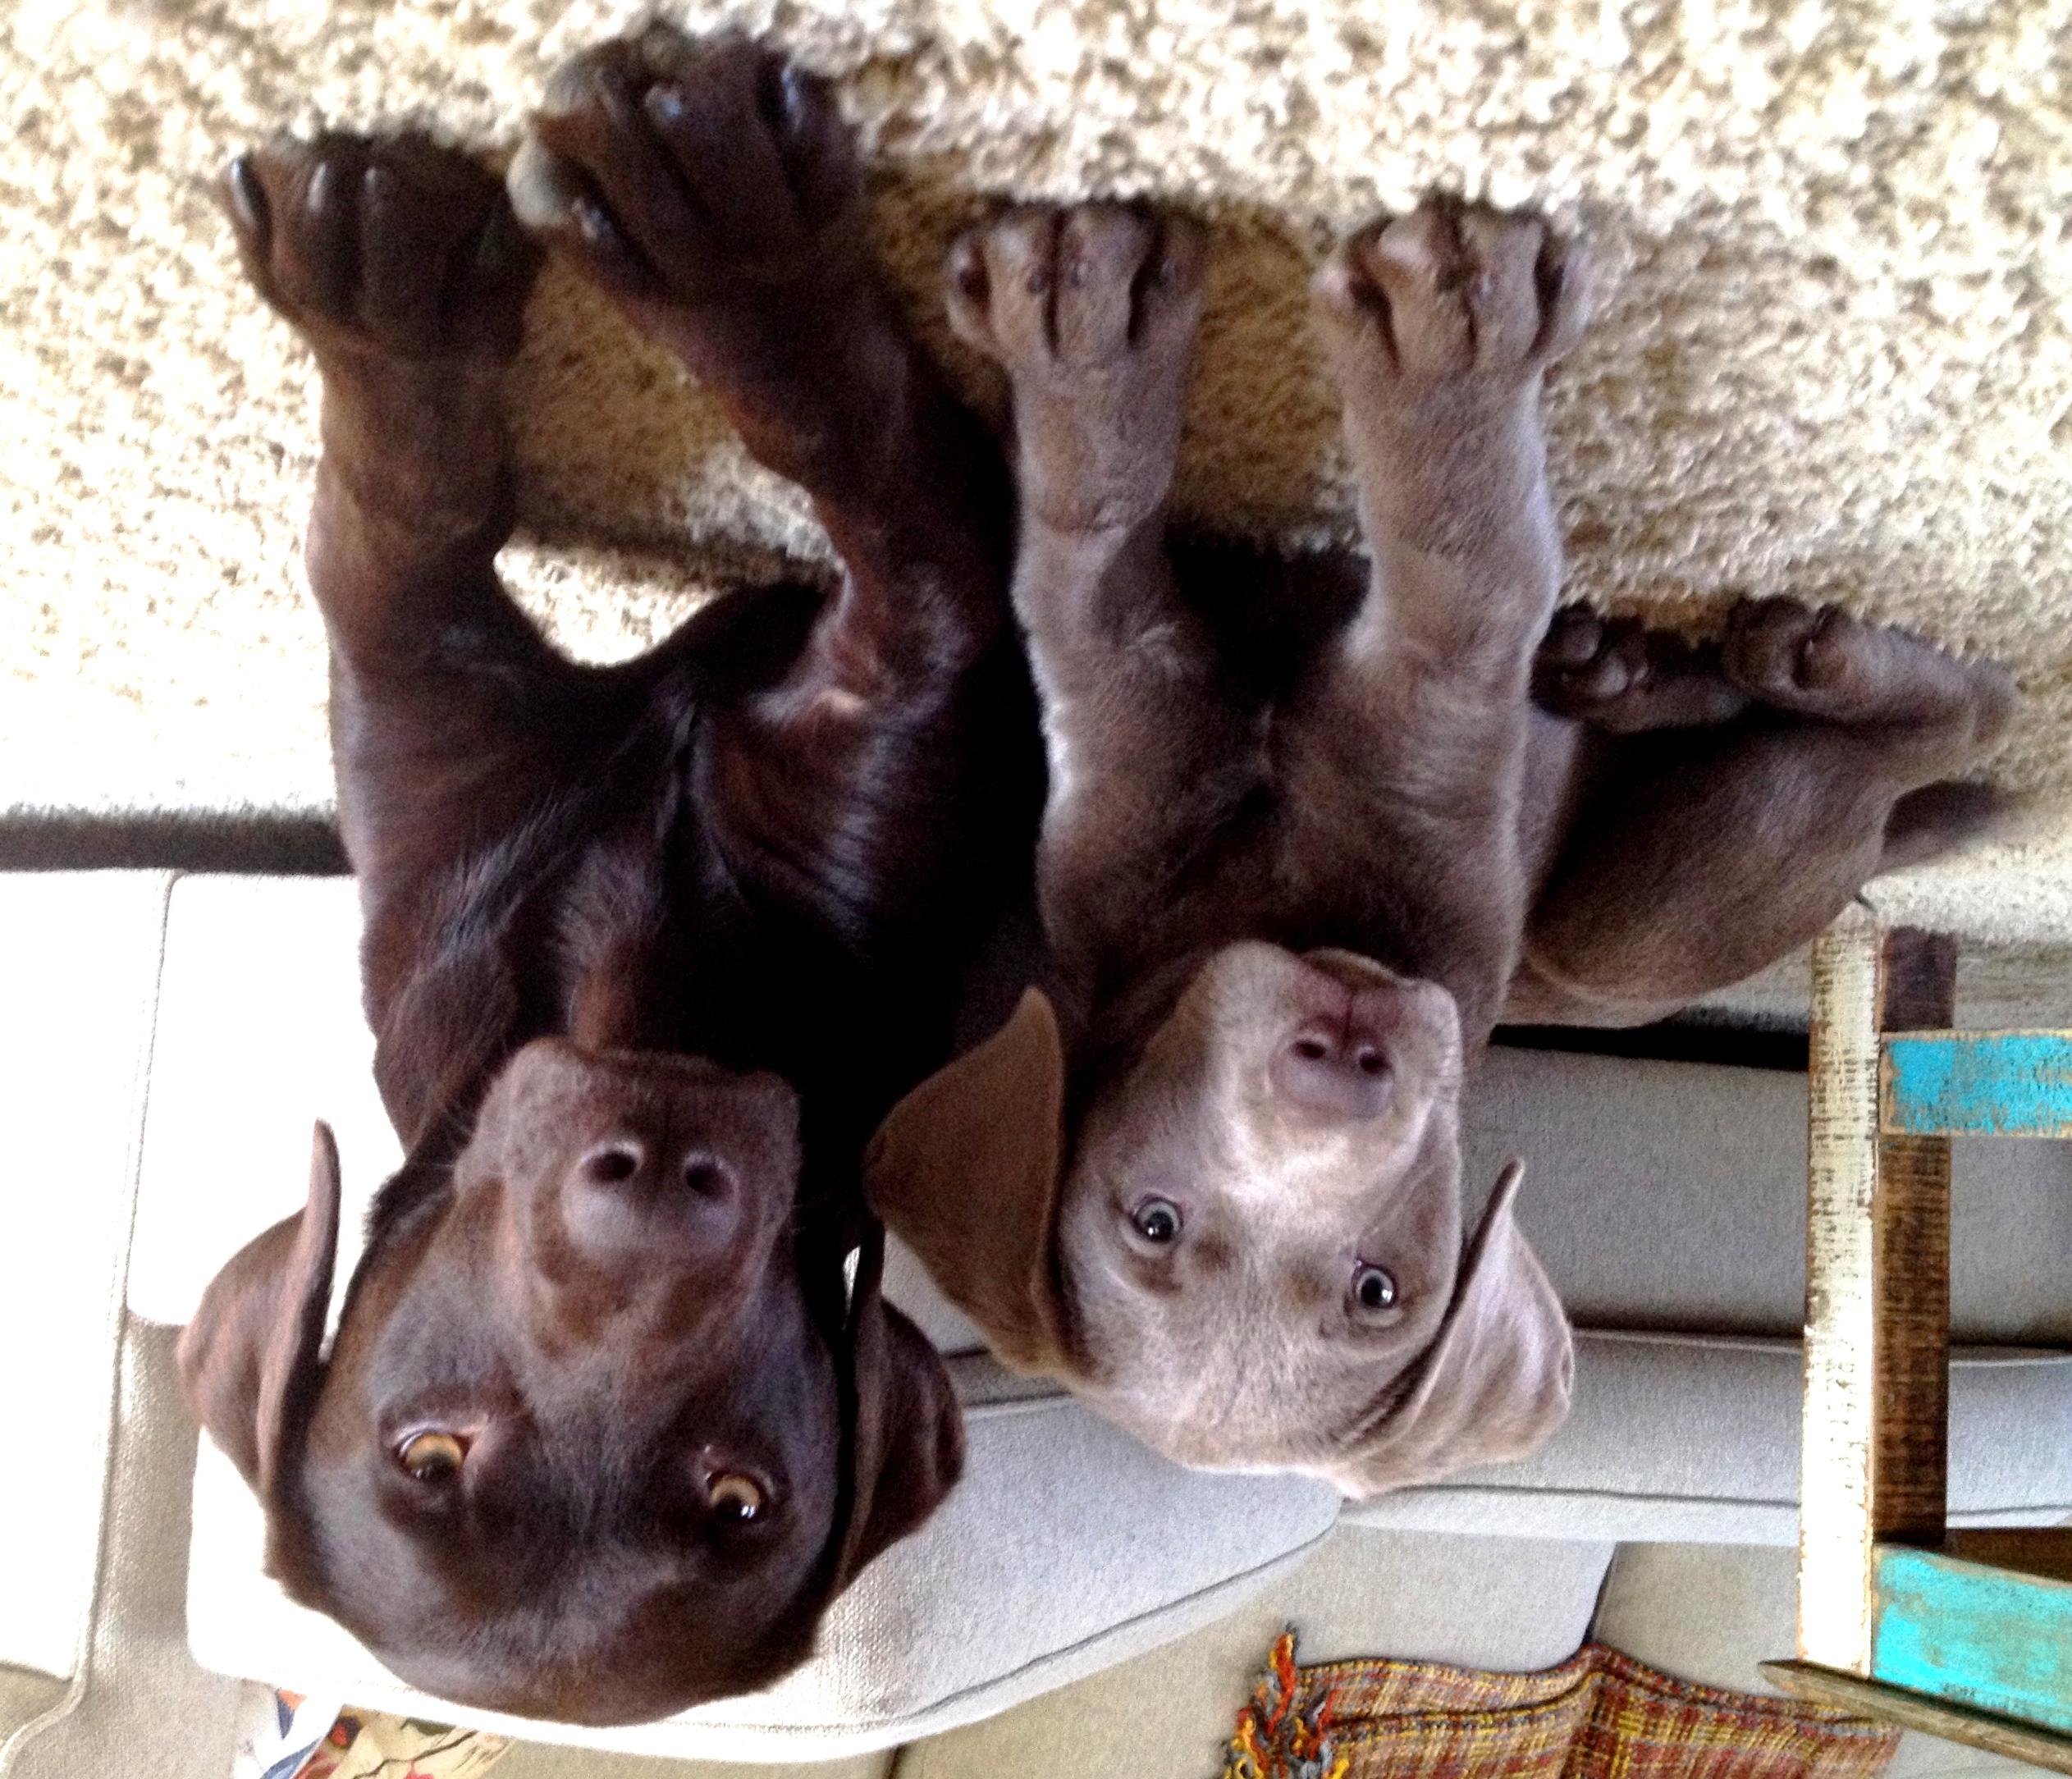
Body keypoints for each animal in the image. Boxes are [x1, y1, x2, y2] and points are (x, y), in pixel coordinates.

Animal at [179, 28, 1040, 1725]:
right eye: (427, 1450)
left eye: (739, 1496)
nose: (658, 1180)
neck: (639, 974)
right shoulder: (438, 739)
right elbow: (394, 533)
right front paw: (388, 297)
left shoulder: (904, 707)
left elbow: (873, 469)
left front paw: (727, 248)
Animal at [864, 198, 2015, 1496]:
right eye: (1152, 1217)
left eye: (1377, 1291)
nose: (1341, 1067)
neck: (1282, 914)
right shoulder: (1270, 772)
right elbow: (1422, 593)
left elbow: (1150, 578)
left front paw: (1090, 332)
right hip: (1641, 916)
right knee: (1914, 745)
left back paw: (1677, 667)